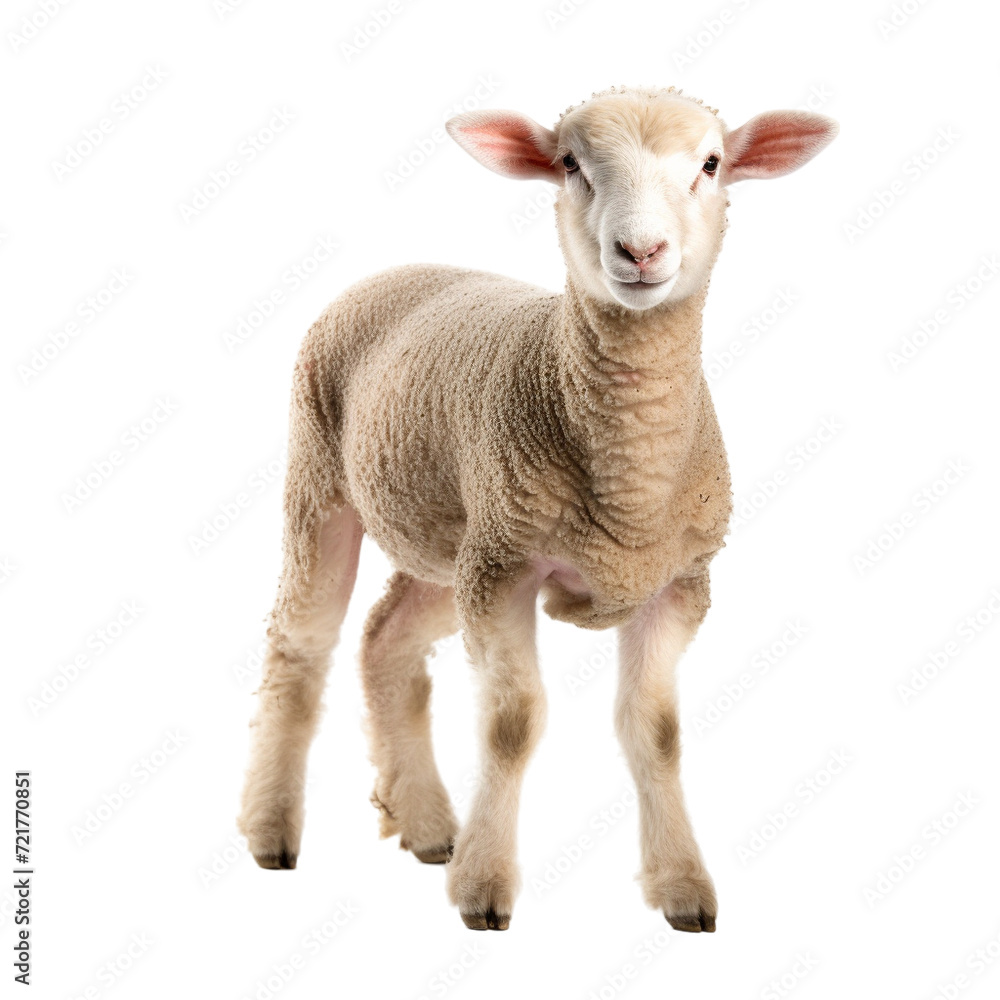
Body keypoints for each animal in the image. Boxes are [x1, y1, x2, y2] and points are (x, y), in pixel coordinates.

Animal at [236, 85, 838, 932]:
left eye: (713, 163)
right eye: (571, 164)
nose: (641, 252)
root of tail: (398, 267)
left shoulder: (678, 582)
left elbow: (656, 733)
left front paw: (682, 886)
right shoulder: (506, 573)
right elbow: (513, 724)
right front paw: (486, 887)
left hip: (454, 537)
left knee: (387, 640)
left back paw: (427, 826)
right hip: (326, 482)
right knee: (299, 643)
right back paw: (271, 830)